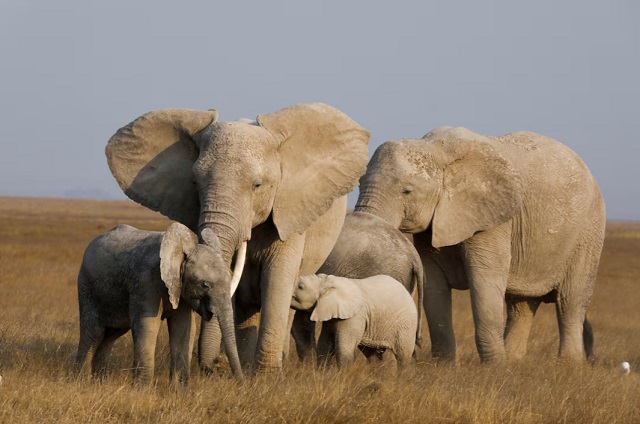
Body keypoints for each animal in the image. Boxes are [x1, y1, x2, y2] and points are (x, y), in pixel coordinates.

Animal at [74, 223, 243, 387]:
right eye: (205, 285)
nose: (240, 384)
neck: (182, 251)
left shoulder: (180, 287)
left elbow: (184, 327)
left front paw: (179, 390)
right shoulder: (145, 281)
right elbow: (148, 325)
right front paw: (142, 390)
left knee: (111, 335)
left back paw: (99, 383)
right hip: (87, 286)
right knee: (94, 333)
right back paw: (82, 382)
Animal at [105, 103, 370, 371]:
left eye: (258, 185)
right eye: (194, 183)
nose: (213, 366)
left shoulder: (290, 211)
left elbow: (277, 282)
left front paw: (267, 375)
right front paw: (245, 371)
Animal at [355, 126, 606, 363]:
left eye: (407, 191)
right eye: (359, 184)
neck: (437, 150)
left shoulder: (493, 219)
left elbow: (484, 281)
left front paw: (494, 370)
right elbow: (433, 283)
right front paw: (444, 367)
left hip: (589, 231)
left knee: (570, 302)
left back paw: (568, 365)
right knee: (521, 305)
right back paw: (514, 361)